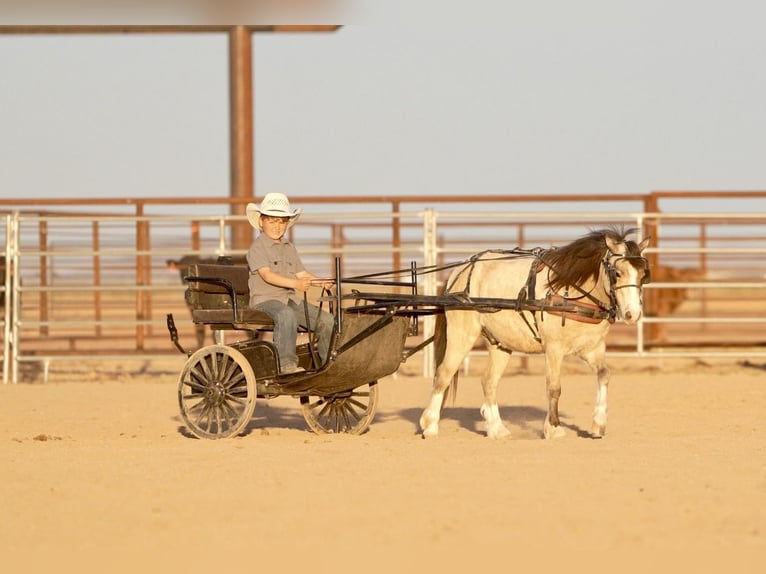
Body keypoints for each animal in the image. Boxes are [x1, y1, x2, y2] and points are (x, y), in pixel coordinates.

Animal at [419, 227, 650, 440]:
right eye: (617, 272)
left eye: (643, 275)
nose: (632, 314)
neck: (572, 293)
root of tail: (460, 271)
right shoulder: (554, 349)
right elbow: (554, 387)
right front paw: (554, 428)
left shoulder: (592, 348)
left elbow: (604, 375)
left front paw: (597, 425)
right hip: (462, 335)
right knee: (443, 375)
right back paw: (430, 426)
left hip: (500, 343)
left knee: (488, 381)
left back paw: (497, 429)